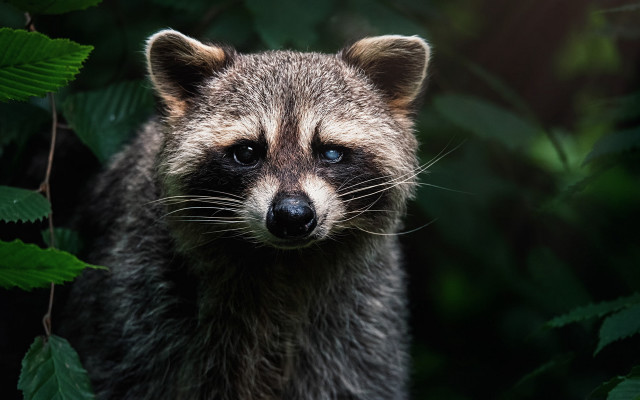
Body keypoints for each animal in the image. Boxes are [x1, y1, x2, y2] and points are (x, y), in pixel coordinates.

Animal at [65, 30, 430, 400]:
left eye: (330, 152)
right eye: (246, 152)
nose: (291, 216)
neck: (283, 263)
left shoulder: (361, 319)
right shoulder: (141, 302)